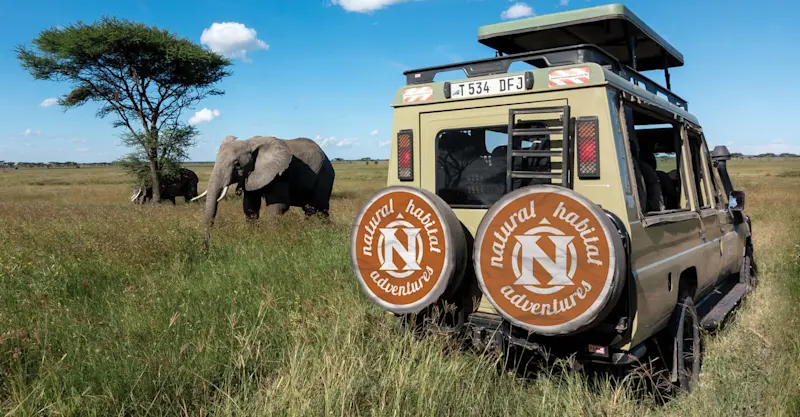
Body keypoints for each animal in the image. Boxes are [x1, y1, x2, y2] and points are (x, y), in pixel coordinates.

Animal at [195, 135, 335, 226]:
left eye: (237, 164)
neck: (249, 143)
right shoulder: (252, 175)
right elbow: (250, 206)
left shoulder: (280, 173)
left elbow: (278, 206)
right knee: (310, 209)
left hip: (324, 177)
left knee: (321, 209)